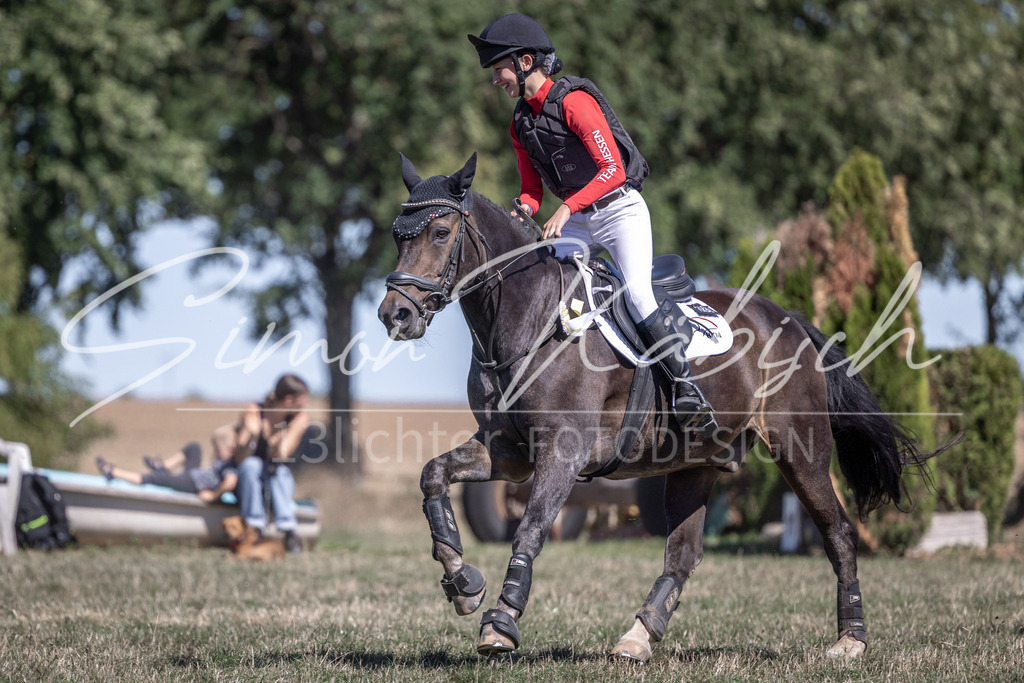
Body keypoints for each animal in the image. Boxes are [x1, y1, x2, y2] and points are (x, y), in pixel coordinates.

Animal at [377, 152, 955, 663]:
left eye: (440, 233)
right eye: (398, 236)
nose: (394, 314)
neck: (529, 321)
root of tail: (790, 321)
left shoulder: (562, 453)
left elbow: (532, 527)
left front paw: (500, 622)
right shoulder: (510, 452)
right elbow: (433, 476)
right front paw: (461, 580)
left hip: (800, 452)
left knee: (837, 532)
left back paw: (850, 641)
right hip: (696, 463)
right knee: (683, 553)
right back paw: (638, 638)